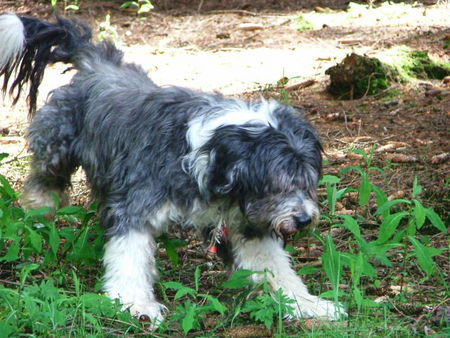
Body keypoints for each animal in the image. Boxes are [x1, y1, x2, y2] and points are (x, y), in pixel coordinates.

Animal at [0, 13, 346, 324]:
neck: (207, 152)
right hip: (57, 146)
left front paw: (307, 304)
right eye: (276, 184)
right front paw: (135, 303)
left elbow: (274, 266)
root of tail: (97, 59)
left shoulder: (248, 223)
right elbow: (130, 256)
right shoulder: (138, 205)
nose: (304, 220)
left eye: (306, 183)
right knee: (44, 181)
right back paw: (37, 212)